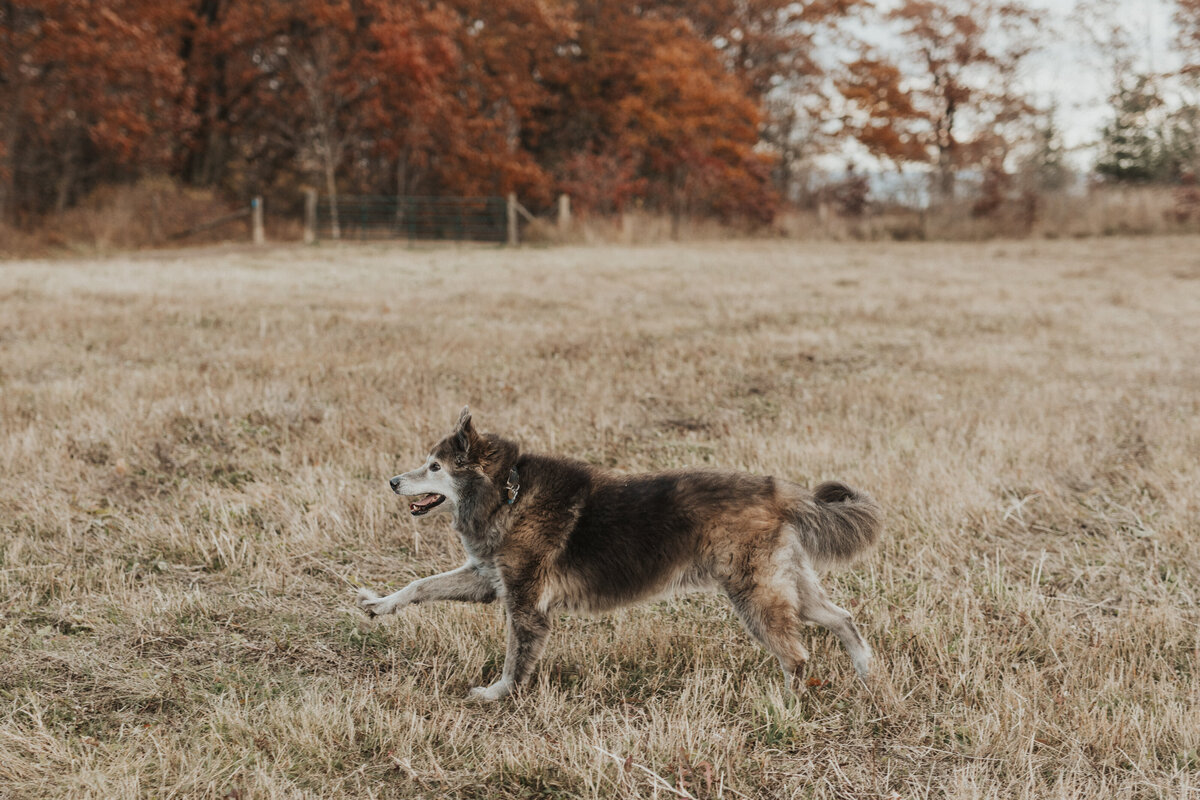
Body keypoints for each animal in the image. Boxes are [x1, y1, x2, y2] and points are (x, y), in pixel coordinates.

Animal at [355, 407, 883, 700]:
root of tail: (775, 490)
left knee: (797, 655)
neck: (508, 491)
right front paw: (380, 604)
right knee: (842, 618)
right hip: (789, 585)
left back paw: (786, 703)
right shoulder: (489, 579)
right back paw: (865, 671)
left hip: (756, 595)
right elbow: (420, 585)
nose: (394, 482)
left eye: (435, 466)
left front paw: (497, 694)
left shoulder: (525, 604)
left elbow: (515, 658)